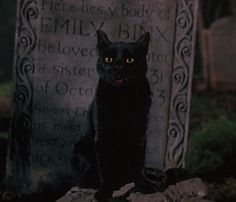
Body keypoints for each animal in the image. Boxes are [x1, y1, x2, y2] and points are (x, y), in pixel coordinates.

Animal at [72, 30, 152, 201]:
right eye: (108, 59)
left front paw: (144, 185)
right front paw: (104, 192)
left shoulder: (140, 133)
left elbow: (138, 163)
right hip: (80, 151)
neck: (122, 99)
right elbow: (105, 168)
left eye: (130, 60)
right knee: (84, 180)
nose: (118, 67)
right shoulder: (103, 136)